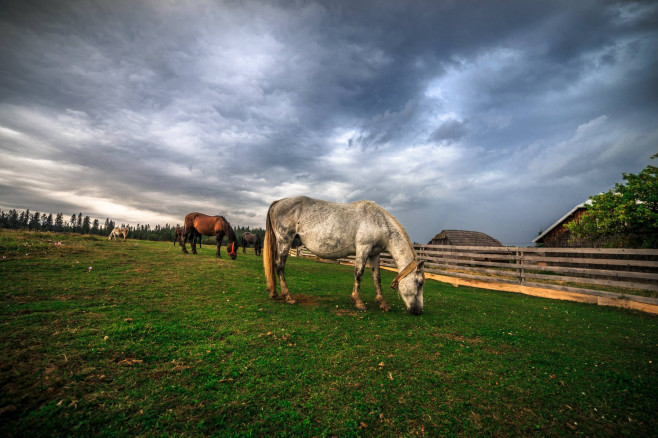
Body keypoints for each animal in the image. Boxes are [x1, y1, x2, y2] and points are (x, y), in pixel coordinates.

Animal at [262, 196, 426, 314]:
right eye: (420, 283)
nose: (418, 311)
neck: (379, 221)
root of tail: (278, 202)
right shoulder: (363, 249)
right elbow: (359, 274)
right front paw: (358, 302)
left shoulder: (374, 254)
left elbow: (376, 278)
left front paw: (382, 303)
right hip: (285, 241)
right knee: (280, 266)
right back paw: (288, 297)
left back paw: (275, 293)